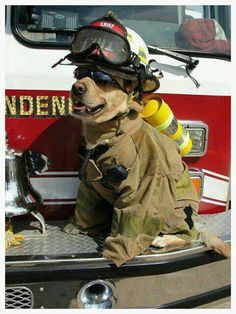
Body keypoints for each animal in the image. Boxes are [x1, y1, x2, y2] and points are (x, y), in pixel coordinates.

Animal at [64, 67, 230, 268]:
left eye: (103, 80)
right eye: (80, 74)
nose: (76, 87)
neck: (112, 134)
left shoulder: (145, 186)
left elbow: (132, 218)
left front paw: (114, 251)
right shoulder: (91, 182)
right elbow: (87, 206)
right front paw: (79, 226)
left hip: (178, 211)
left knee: (190, 236)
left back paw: (164, 239)